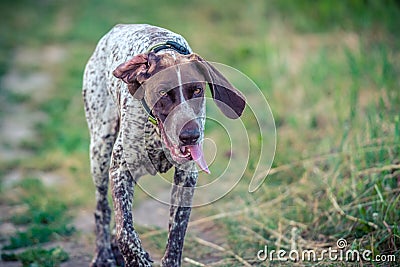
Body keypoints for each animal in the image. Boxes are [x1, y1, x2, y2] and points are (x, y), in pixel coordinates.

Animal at [83, 24, 245, 266]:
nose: (190, 136)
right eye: (162, 93)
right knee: (102, 207)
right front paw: (136, 258)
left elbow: (177, 231)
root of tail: (117, 28)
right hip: (100, 151)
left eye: (197, 90)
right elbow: (125, 232)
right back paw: (103, 254)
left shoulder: (186, 176)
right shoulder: (120, 169)